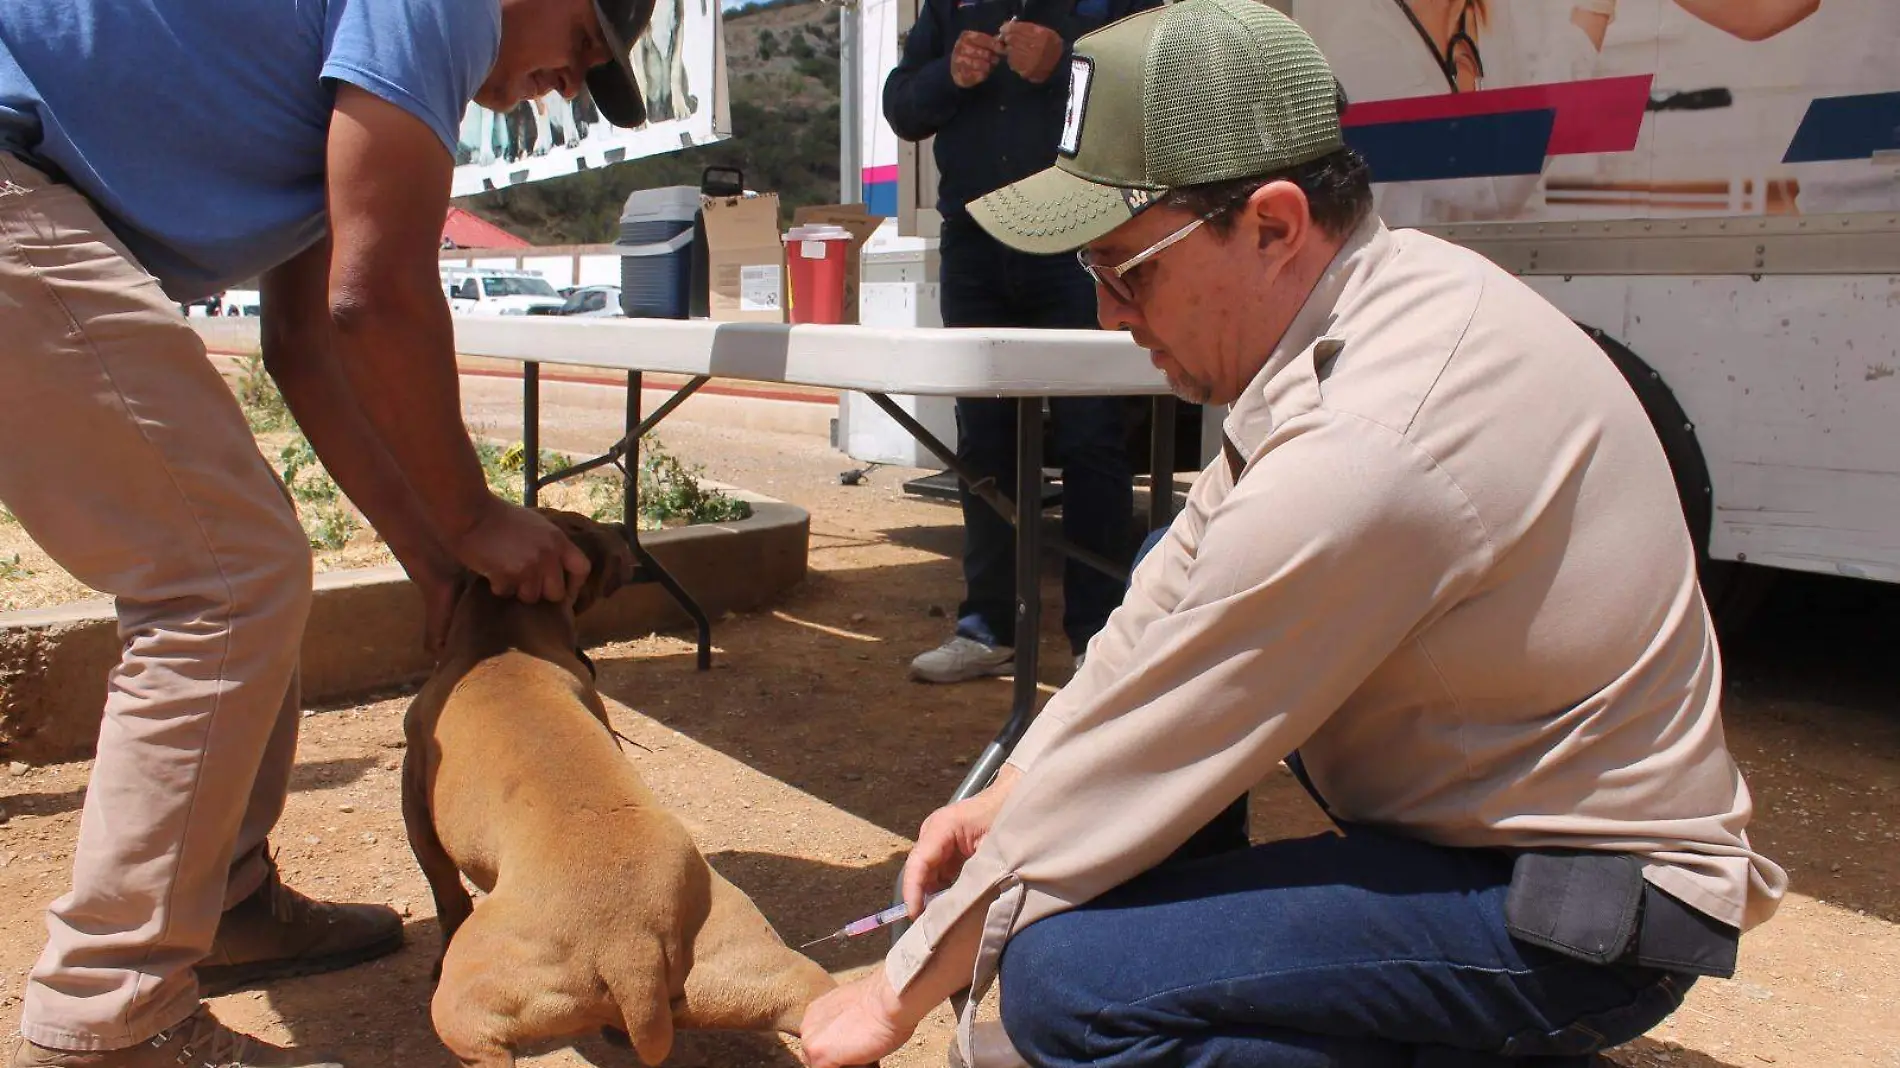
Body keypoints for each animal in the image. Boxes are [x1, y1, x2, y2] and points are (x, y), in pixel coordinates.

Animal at [402, 509, 839, 1064]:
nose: (618, 529)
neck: (500, 635)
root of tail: (632, 946)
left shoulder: (415, 797)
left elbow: (445, 892)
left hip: (468, 1010)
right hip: (760, 970)